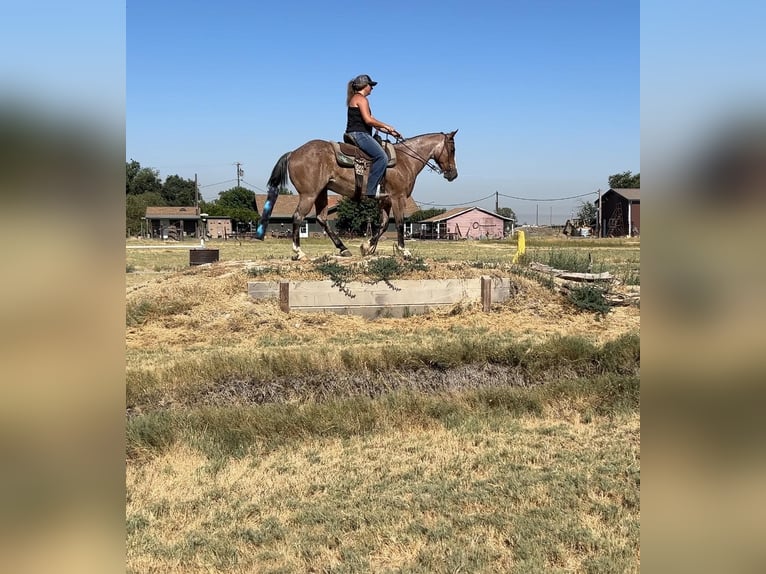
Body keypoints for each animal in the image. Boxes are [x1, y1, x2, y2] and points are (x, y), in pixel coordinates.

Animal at [255, 130, 458, 260]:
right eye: (453, 149)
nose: (453, 174)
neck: (406, 160)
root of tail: (293, 153)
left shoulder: (384, 201)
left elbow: (384, 225)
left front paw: (367, 247)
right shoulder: (397, 197)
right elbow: (400, 224)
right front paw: (404, 251)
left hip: (321, 193)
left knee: (321, 218)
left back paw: (344, 249)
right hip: (309, 194)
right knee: (298, 217)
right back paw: (299, 252)